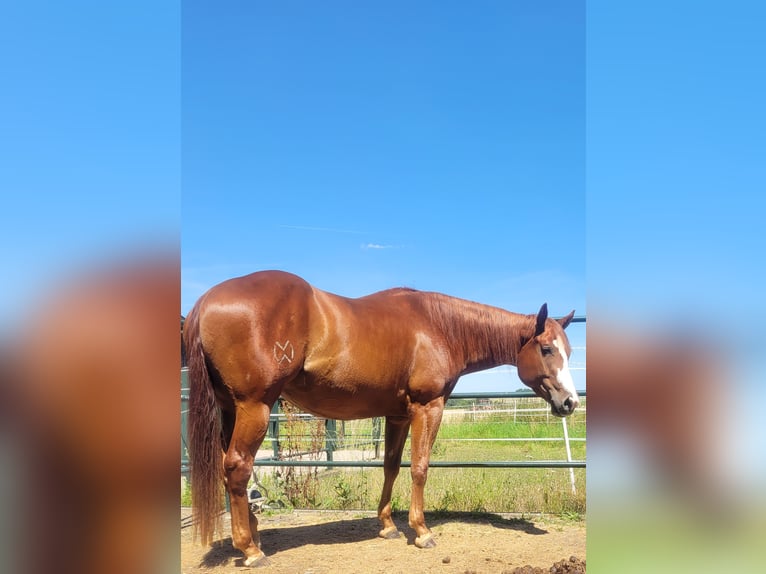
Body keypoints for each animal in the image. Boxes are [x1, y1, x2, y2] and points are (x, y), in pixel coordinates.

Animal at [186, 270, 580, 568]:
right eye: (547, 349)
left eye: (568, 351)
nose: (570, 402)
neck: (439, 327)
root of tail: (204, 302)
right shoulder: (428, 407)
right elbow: (420, 467)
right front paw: (421, 532)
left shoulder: (397, 415)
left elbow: (391, 466)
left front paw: (388, 525)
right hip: (255, 406)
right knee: (238, 467)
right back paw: (251, 550)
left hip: (230, 409)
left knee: (233, 471)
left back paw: (253, 534)